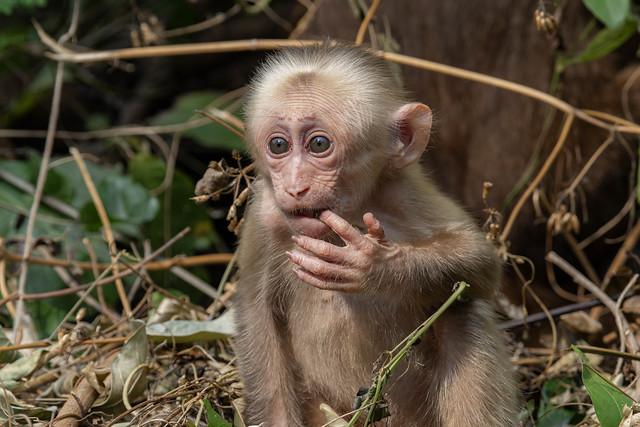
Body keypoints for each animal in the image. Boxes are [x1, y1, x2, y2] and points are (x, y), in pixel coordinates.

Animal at [232, 45, 516, 426]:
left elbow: (481, 263)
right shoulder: (264, 213)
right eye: (278, 145)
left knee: (462, 307)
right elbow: (257, 312)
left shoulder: (406, 193)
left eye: (318, 144)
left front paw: (374, 267)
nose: (294, 187)